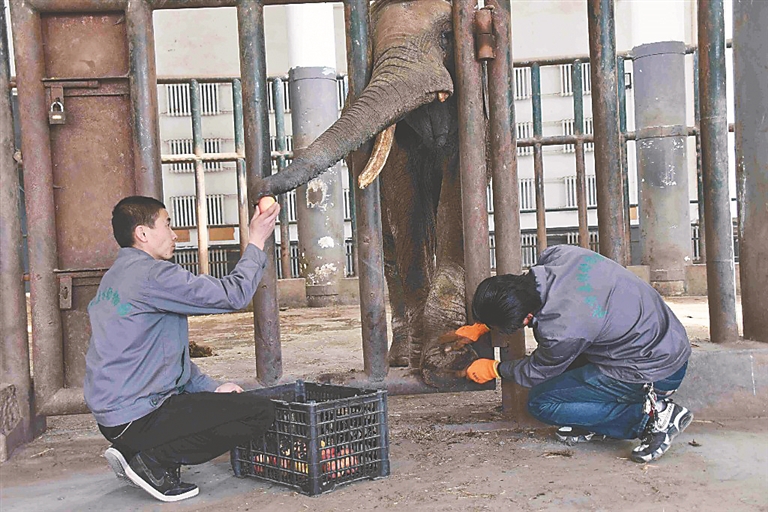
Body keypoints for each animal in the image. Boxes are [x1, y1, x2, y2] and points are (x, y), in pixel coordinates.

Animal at [254, 0, 492, 384]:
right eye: (373, 46)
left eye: (447, 35)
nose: (259, 190)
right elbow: (403, 193)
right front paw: (428, 360)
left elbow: (459, 190)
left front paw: (448, 363)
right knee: (389, 249)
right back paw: (399, 357)